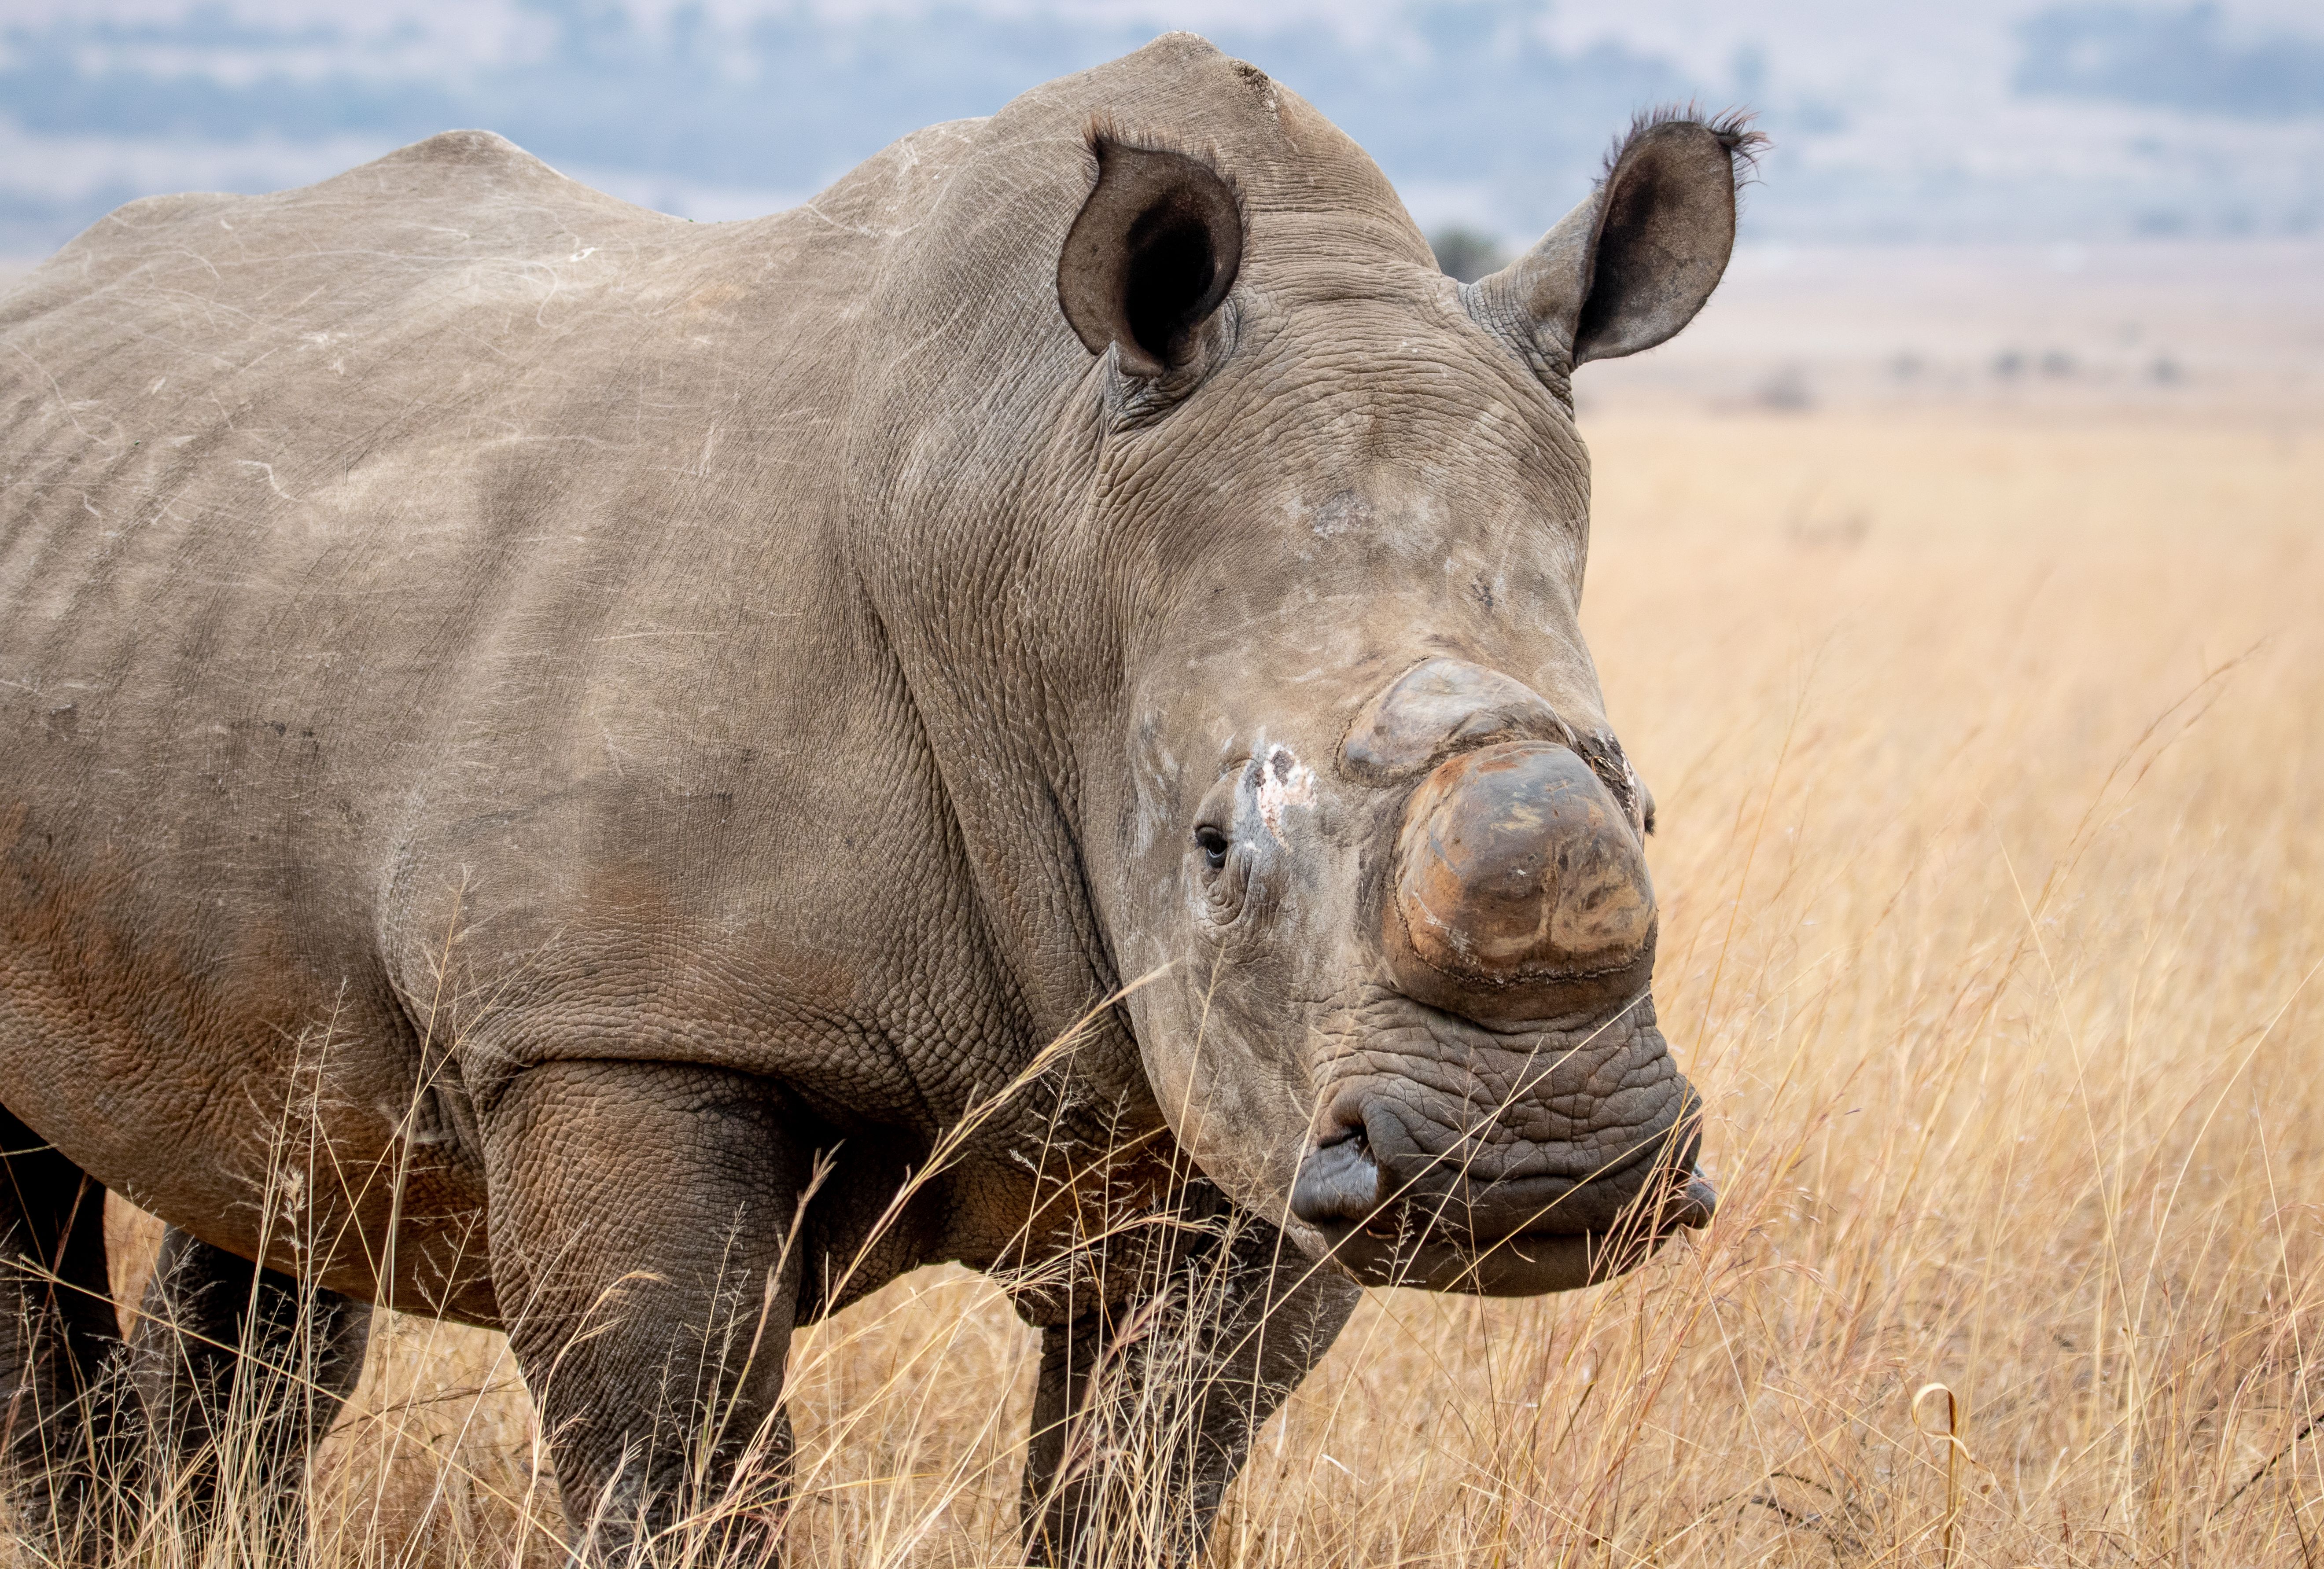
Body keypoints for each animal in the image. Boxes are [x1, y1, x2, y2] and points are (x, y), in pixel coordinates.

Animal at [0, 33, 1751, 1565]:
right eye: (1211, 850)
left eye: (1646, 812)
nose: (1541, 1165)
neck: (1044, 530)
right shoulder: (613, 1021)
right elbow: (680, 1455)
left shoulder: (1264, 1094)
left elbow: (1148, 1466)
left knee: (278, 1182)